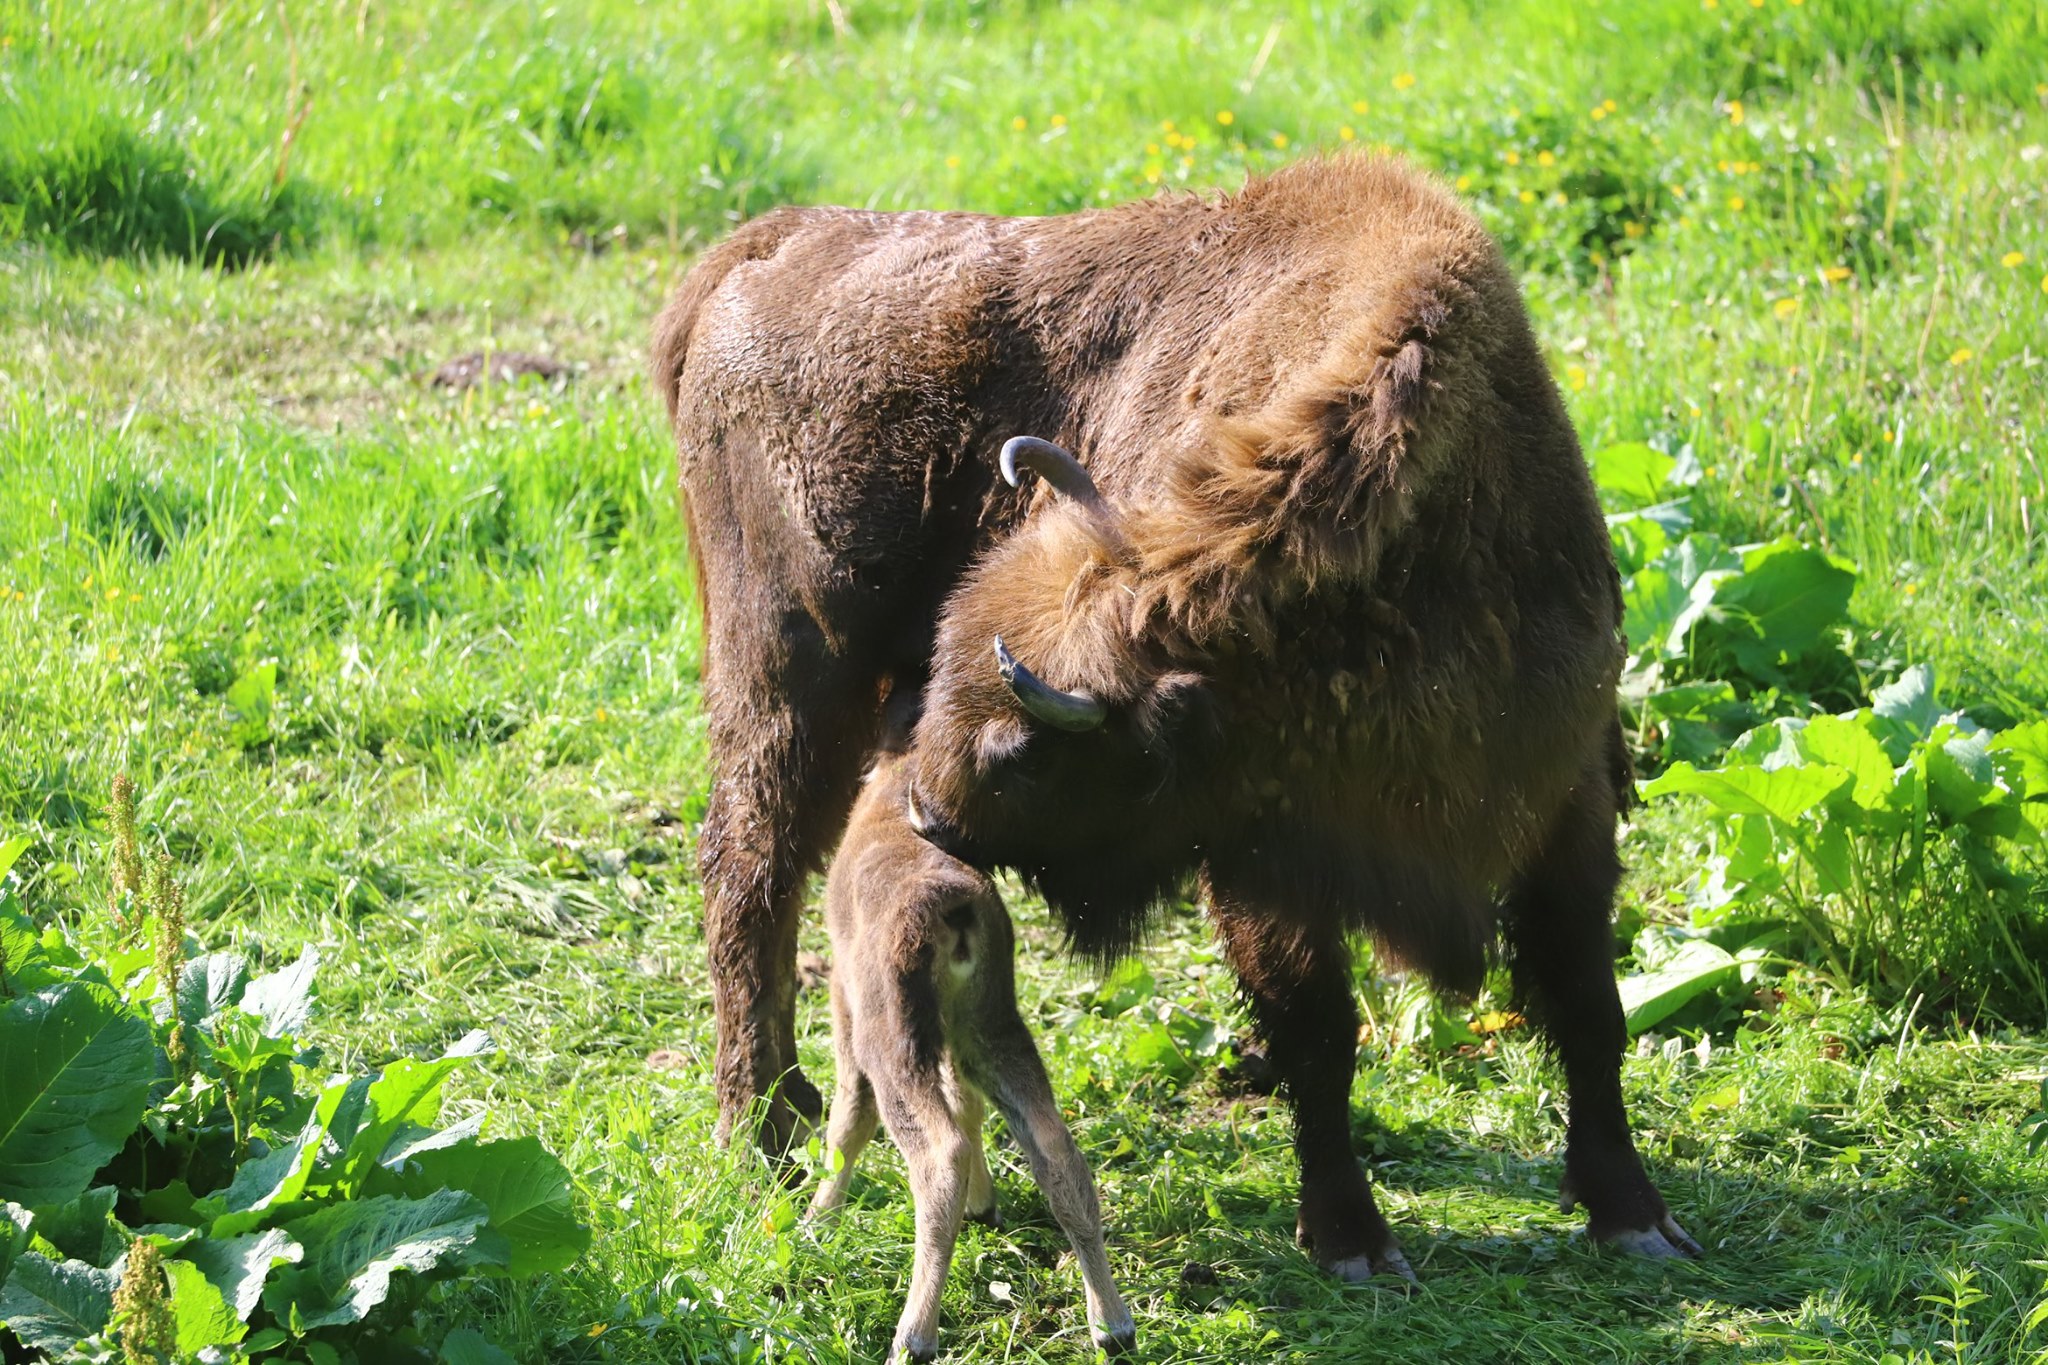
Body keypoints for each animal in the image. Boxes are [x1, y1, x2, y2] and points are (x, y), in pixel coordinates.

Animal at [659, 154, 1695, 1277]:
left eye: (1021, 749)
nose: (932, 817)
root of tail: (766, 248)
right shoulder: (1261, 864)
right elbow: (1319, 1033)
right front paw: (1350, 1239)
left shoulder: (1564, 799)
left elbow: (1588, 1006)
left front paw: (1634, 1213)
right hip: (783, 682)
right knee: (749, 875)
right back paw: (760, 1133)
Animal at [806, 765, 1138, 1358]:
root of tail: (952, 909)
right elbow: (966, 1102)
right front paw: (984, 1204)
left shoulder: (845, 1003)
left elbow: (848, 1117)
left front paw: (818, 1218)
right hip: (990, 1021)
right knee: (1051, 1145)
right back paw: (1113, 1325)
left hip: (892, 1036)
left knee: (938, 1149)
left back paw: (912, 1338)